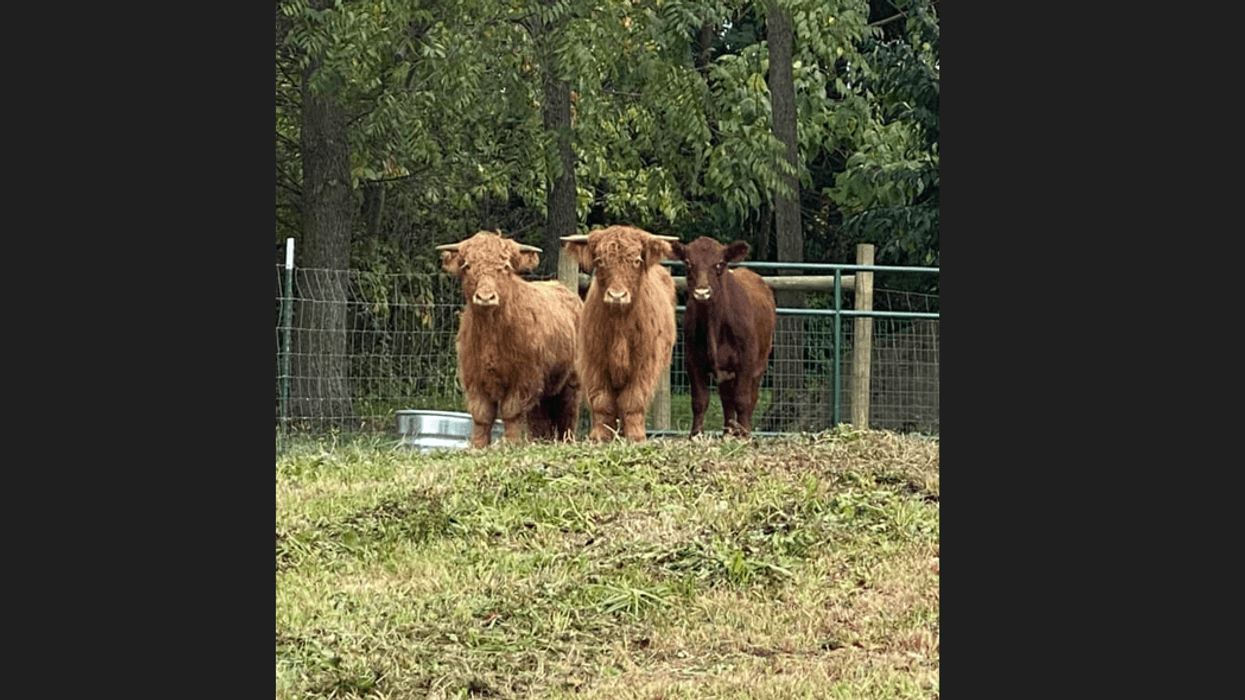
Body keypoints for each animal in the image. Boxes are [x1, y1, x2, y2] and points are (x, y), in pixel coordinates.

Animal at [437, 231, 582, 448]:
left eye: (505, 267)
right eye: (468, 266)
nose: (485, 297)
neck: (491, 330)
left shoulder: (523, 378)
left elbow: (511, 412)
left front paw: (511, 443)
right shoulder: (474, 377)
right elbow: (482, 415)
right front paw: (477, 446)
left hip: (571, 379)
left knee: (568, 412)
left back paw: (566, 441)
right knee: (539, 415)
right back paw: (538, 440)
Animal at [561, 226, 680, 442]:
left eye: (636, 261)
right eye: (600, 261)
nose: (617, 296)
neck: (620, 324)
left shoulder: (644, 364)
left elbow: (633, 399)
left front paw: (635, 436)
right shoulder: (594, 362)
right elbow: (602, 400)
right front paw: (599, 435)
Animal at [669, 237, 776, 439]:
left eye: (719, 263)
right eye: (688, 262)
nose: (702, 292)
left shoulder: (746, 360)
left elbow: (742, 399)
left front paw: (744, 434)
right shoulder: (692, 359)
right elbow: (699, 400)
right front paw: (696, 434)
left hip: (761, 362)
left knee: (751, 396)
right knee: (727, 399)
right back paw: (728, 431)